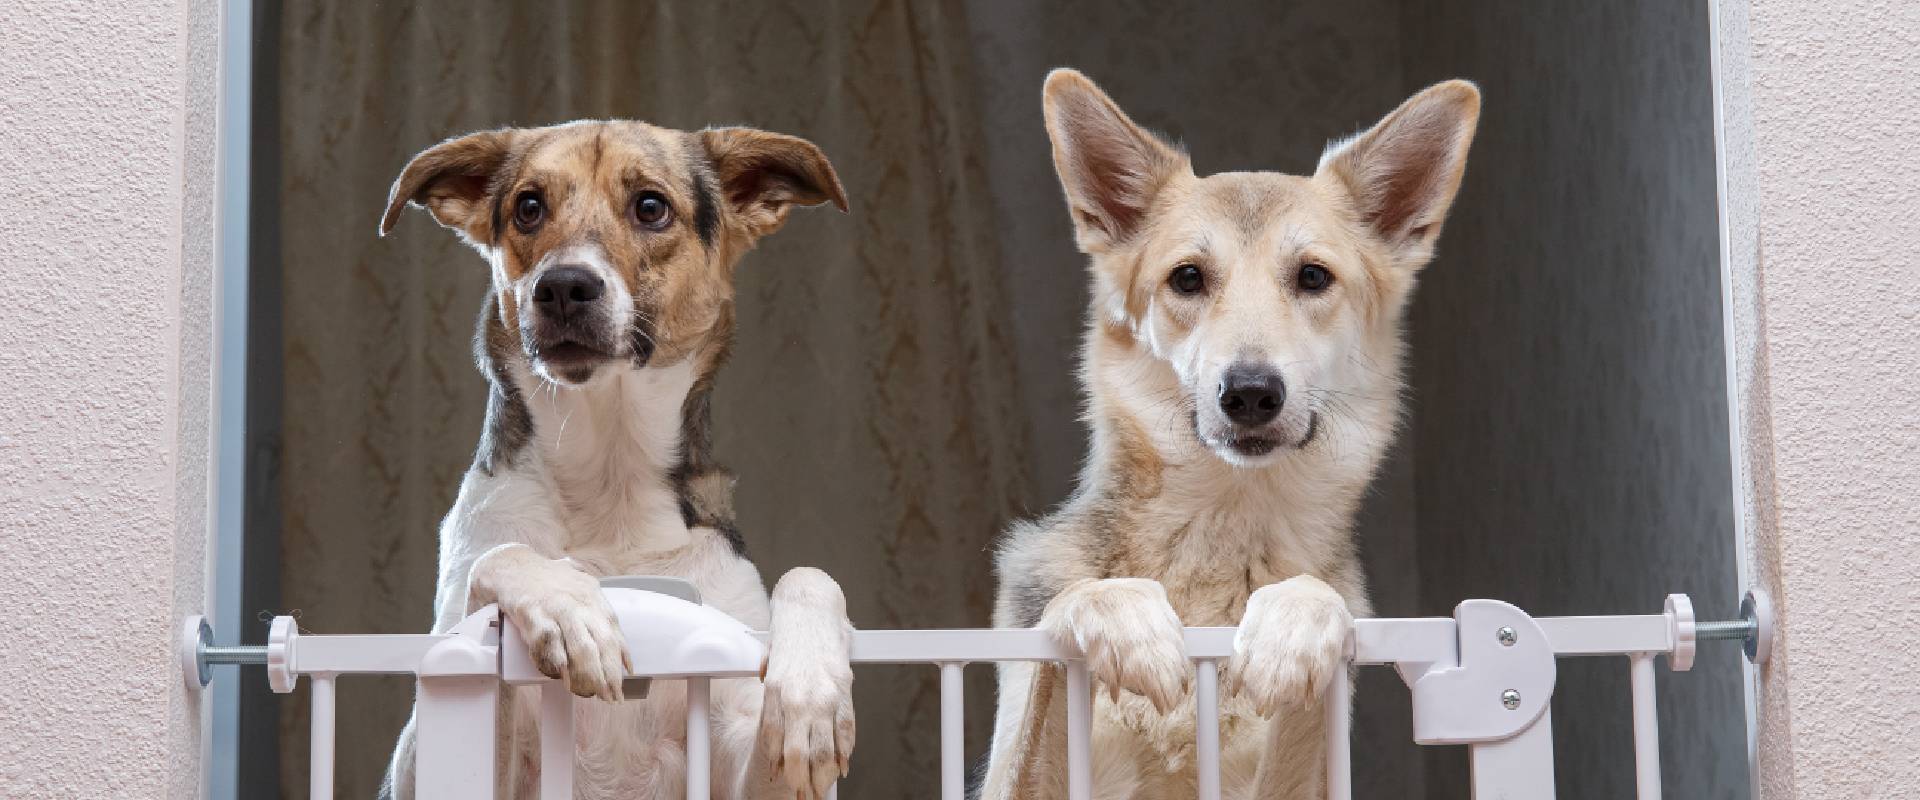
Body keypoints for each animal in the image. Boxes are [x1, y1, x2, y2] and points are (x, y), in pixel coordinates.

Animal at [983, 71, 1474, 794]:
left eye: (1313, 276)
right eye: (1188, 277)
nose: (1249, 393)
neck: (1222, 524)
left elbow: (1315, 597)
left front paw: (1293, 625)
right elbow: (1075, 608)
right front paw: (1122, 615)